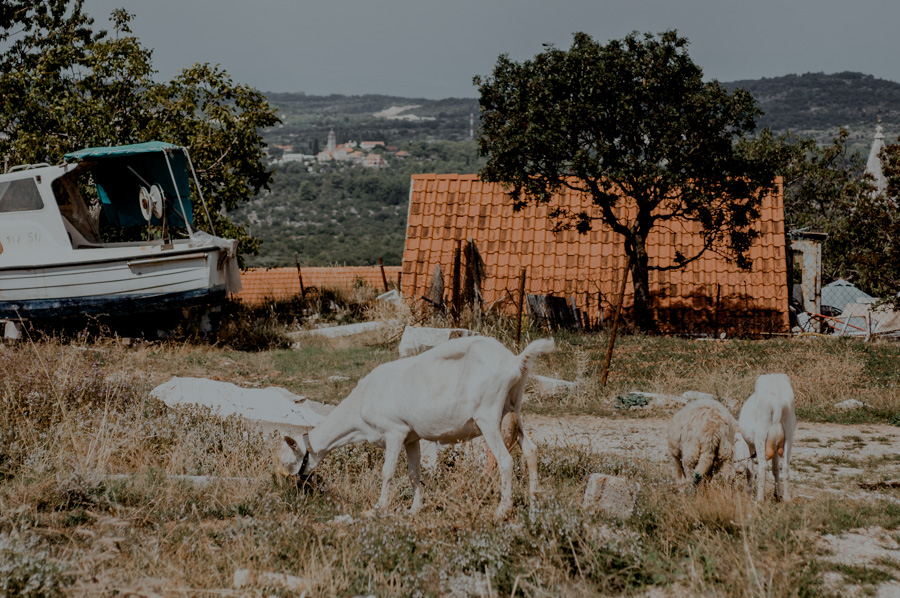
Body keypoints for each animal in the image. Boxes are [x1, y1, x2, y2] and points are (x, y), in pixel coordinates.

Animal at [280, 338, 556, 520]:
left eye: (287, 461)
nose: (292, 488)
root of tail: (515, 361)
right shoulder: (411, 437)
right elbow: (414, 473)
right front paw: (414, 509)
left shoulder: (394, 431)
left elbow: (388, 471)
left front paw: (379, 507)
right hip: (513, 408)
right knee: (531, 450)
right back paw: (534, 505)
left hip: (488, 415)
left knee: (506, 460)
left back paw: (502, 511)